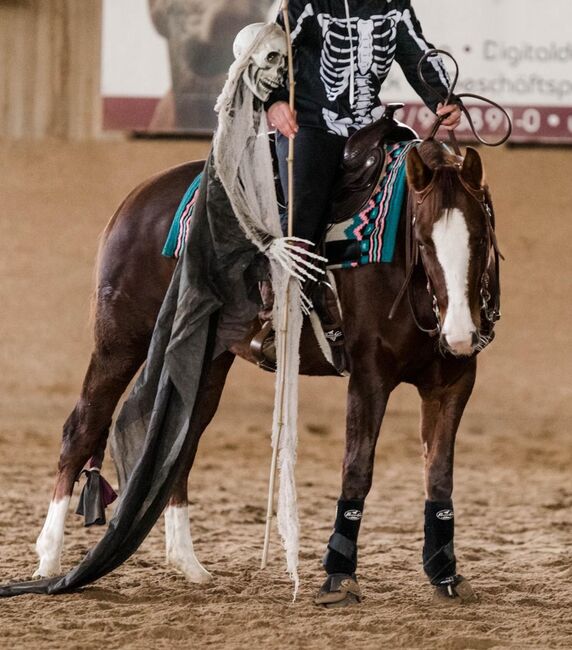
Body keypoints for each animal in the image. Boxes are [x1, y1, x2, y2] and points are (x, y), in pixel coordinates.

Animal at [33, 135, 500, 604]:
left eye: (480, 237)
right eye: (423, 241)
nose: (460, 333)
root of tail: (136, 199)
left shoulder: (454, 381)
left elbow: (439, 476)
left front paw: (445, 573)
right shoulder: (369, 376)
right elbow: (357, 469)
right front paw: (338, 576)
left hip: (207, 358)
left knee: (183, 441)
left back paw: (188, 564)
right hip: (119, 340)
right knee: (81, 428)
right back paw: (49, 561)